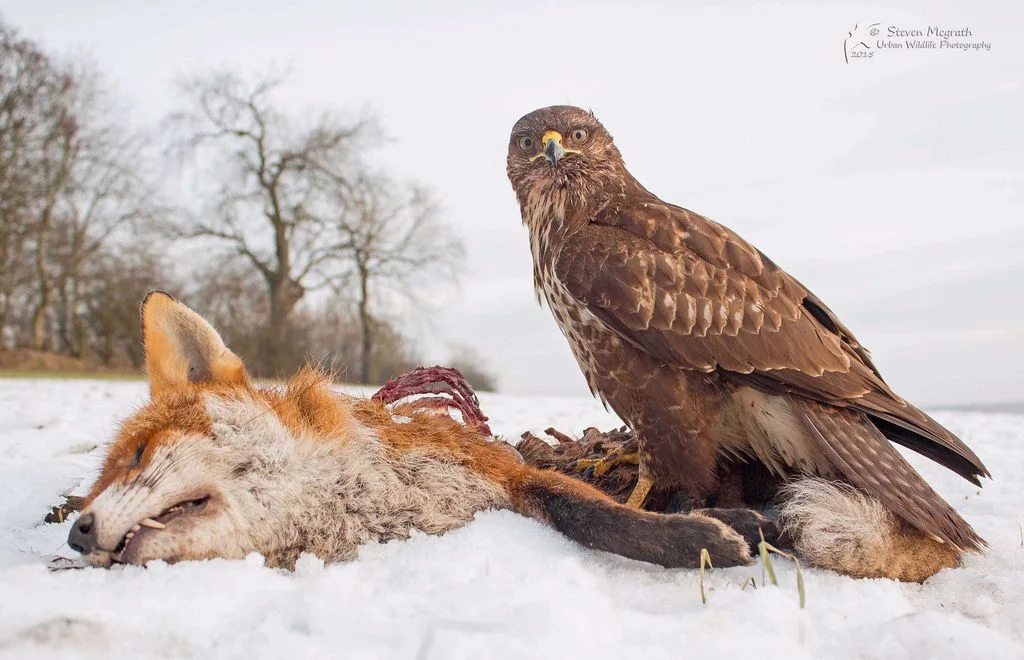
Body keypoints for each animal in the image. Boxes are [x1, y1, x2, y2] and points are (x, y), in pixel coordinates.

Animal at [68, 291, 778, 570]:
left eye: (136, 455)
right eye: (92, 487)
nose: (77, 531)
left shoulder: (507, 473)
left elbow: (599, 516)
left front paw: (701, 541)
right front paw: (714, 536)